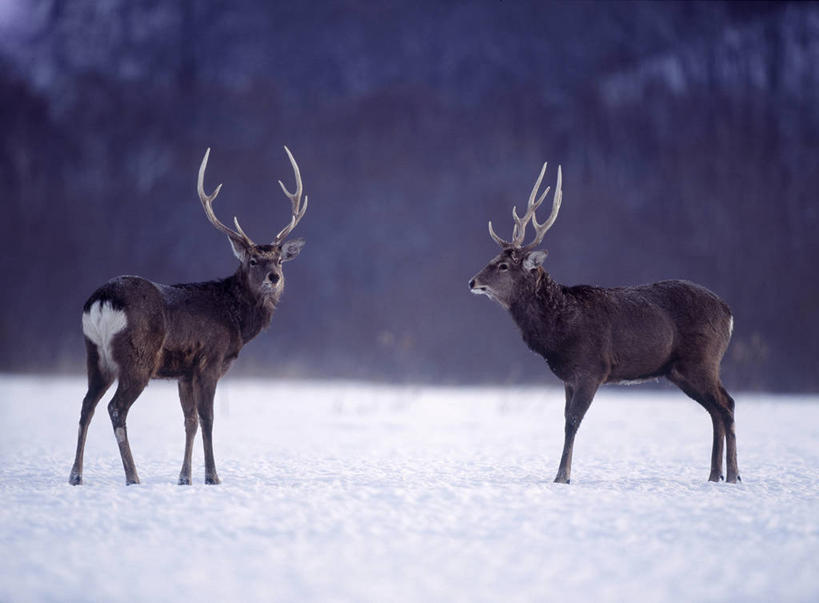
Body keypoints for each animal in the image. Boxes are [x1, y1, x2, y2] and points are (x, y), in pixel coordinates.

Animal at [69, 146, 308, 486]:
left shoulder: (184, 372)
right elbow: (208, 418)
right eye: (252, 260)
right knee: (116, 408)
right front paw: (212, 476)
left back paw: (76, 475)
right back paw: (132, 476)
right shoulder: (210, 360)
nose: (273, 277)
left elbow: (189, 420)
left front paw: (185, 477)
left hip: (94, 355)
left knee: (86, 405)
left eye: (279, 259)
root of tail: (103, 300)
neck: (235, 320)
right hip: (137, 358)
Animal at [468, 164, 744, 486]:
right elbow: (565, 420)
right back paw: (715, 475)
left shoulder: (593, 368)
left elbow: (573, 421)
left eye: (503, 266)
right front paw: (562, 475)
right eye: (492, 258)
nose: (472, 282)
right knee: (715, 410)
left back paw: (733, 475)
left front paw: (562, 476)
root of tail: (728, 313)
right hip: (680, 370)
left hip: (702, 360)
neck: (560, 330)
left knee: (727, 404)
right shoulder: (568, 378)